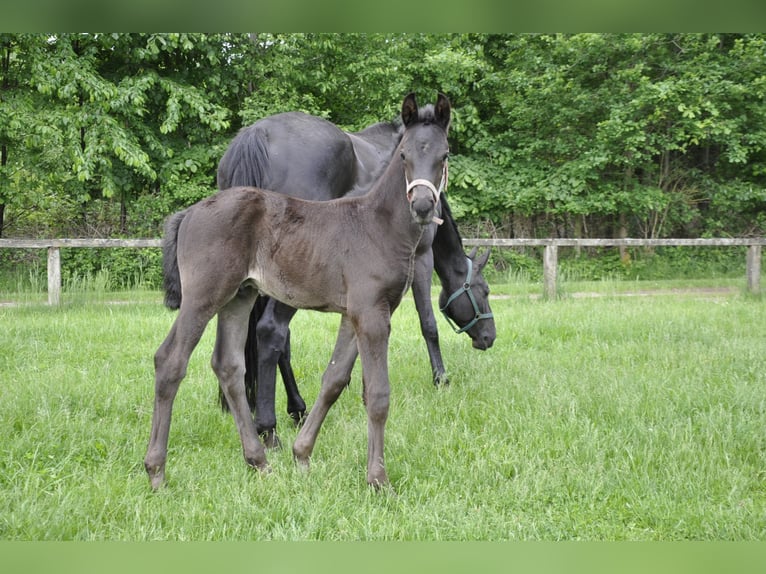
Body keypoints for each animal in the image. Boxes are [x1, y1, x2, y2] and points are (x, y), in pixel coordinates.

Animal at [147, 92, 452, 488]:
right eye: (404, 155)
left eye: (444, 155)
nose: (423, 206)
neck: (375, 223)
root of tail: (189, 213)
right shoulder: (372, 314)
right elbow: (378, 395)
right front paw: (378, 479)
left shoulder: (355, 314)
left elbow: (334, 380)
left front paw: (302, 455)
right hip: (204, 296)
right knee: (170, 360)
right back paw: (156, 471)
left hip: (239, 296)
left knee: (228, 366)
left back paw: (258, 460)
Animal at [214, 101, 498, 448]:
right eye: (484, 291)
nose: (489, 337)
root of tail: (258, 134)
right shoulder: (421, 258)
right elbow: (428, 323)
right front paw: (440, 378)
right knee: (272, 331)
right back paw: (272, 425)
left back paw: (291, 408)